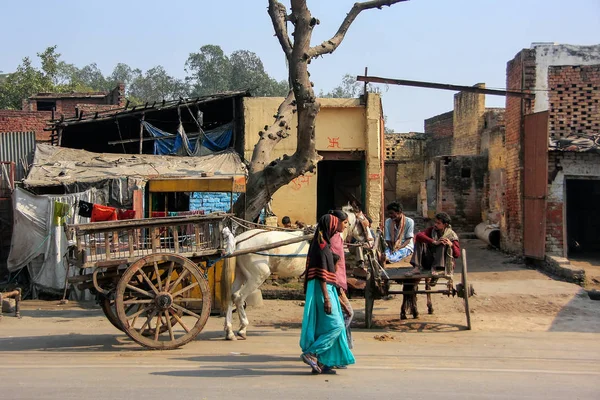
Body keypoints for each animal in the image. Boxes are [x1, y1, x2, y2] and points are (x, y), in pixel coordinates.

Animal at [220, 209, 370, 340]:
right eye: (364, 223)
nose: (371, 241)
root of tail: (239, 240)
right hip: (258, 275)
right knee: (239, 297)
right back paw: (242, 328)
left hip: (241, 273)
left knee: (231, 295)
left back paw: (229, 331)